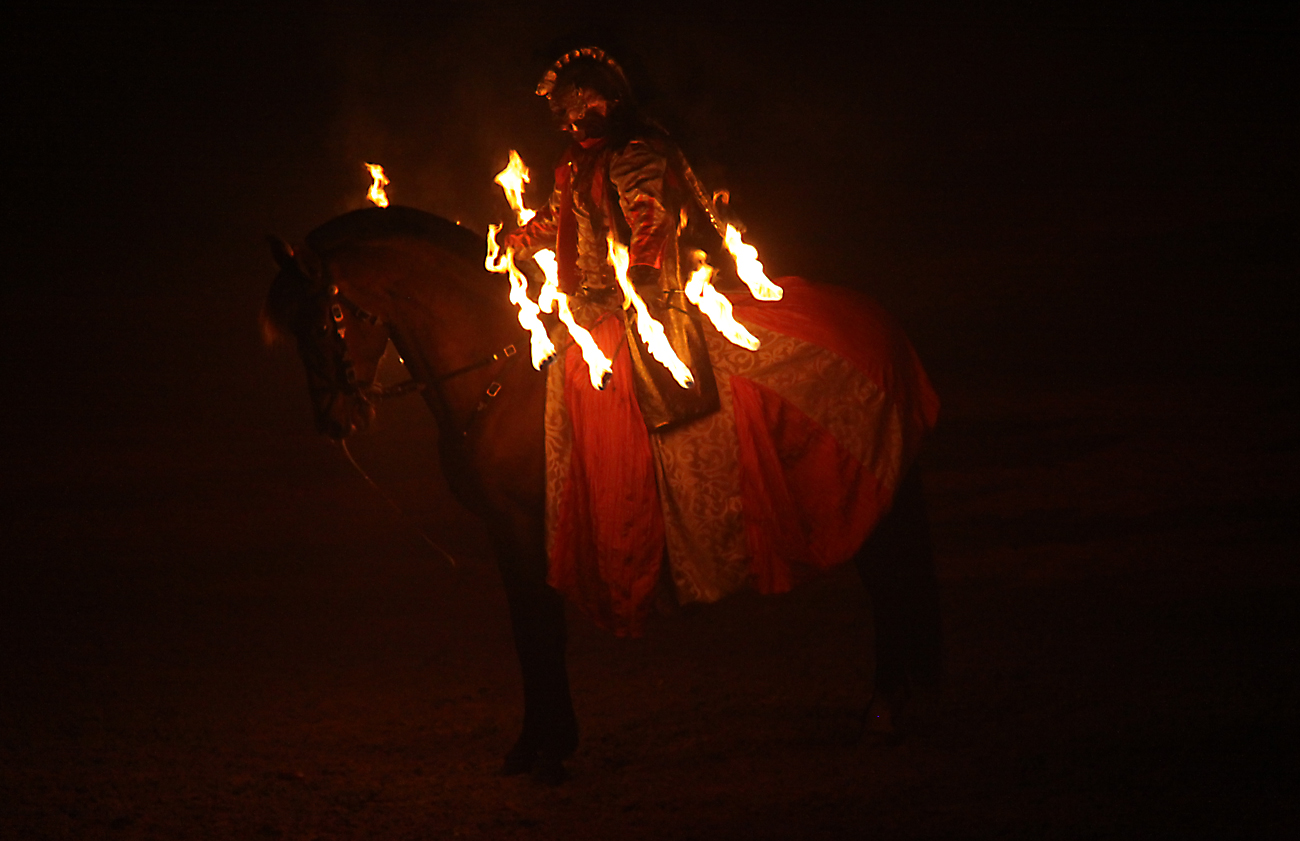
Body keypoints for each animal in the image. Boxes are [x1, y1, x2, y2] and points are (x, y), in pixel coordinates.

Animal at [258, 204, 941, 785]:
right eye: (296, 328)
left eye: (330, 318)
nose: (335, 421)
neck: (507, 373)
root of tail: (877, 321)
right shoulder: (511, 531)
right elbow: (530, 631)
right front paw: (537, 745)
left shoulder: (523, 524)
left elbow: (538, 630)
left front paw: (547, 751)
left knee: (888, 587)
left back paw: (883, 714)